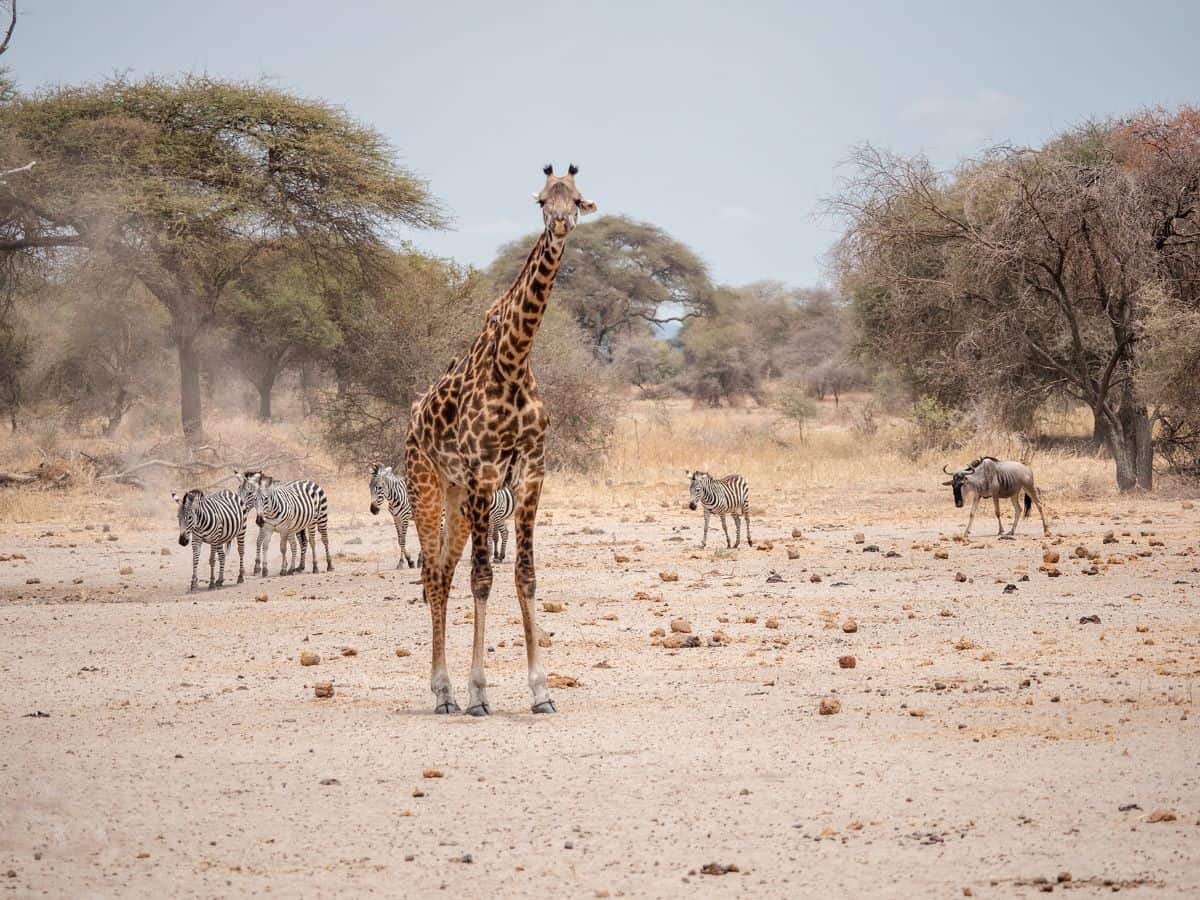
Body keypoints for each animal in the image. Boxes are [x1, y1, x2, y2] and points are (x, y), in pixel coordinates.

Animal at [405, 163, 597, 716]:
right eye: (541, 200)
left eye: (577, 198)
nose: (561, 223)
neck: (513, 362)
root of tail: (413, 417)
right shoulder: (484, 473)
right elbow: (484, 578)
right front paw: (477, 693)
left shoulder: (532, 470)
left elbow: (525, 575)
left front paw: (541, 691)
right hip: (426, 484)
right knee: (433, 575)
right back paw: (444, 692)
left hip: (455, 494)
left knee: (443, 571)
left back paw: (444, 690)